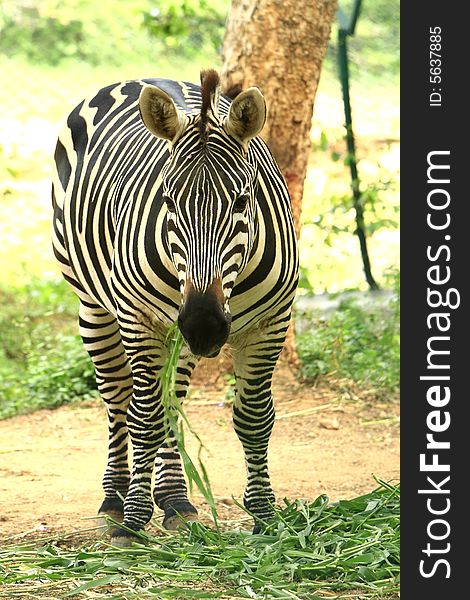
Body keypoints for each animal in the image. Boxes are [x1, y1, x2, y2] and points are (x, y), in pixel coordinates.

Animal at [52, 69, 298, 544]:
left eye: (243, 201)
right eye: (167, 200)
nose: (203, 324)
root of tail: (139, 77)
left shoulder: (271, 324)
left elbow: (254, 418)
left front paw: (265, 516)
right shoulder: (140, 321)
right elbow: (143, 418)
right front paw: (132, 522)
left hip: (176, 336)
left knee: (172, 399)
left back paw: (174, 499)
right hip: (95, 307)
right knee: (118, 398)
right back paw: (115, 498)